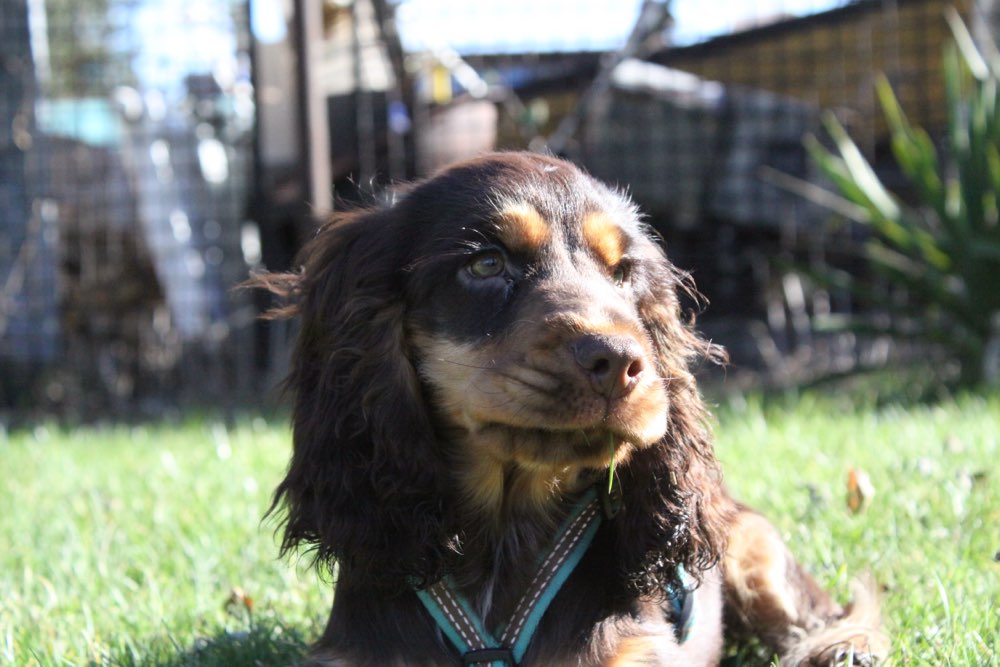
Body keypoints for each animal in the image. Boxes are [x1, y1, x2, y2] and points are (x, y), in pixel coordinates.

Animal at [254, 154, 888, 664]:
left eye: (624, 273)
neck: (504, 532)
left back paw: (845, 648)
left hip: (753, 548)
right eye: (486, 264)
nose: (622, 361)